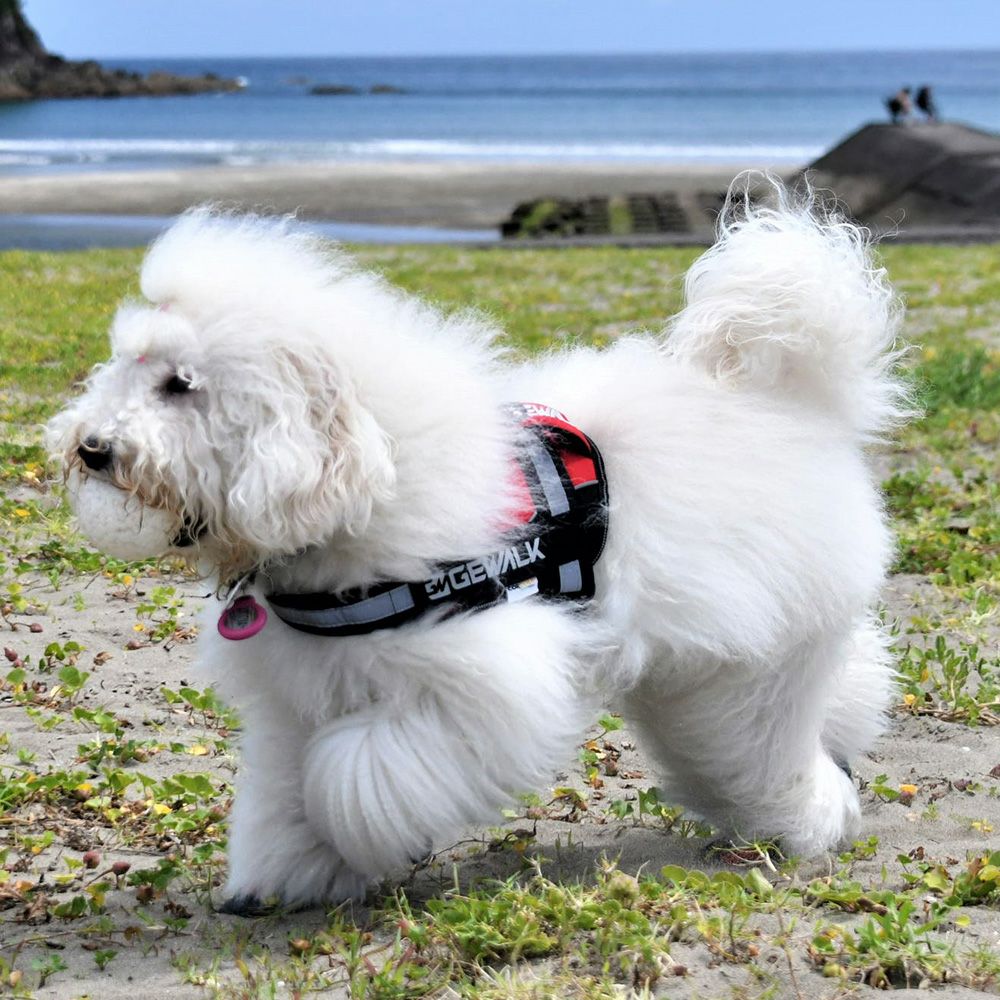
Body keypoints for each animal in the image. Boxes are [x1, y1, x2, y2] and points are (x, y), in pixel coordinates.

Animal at [48, 187, 908, 911]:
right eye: (124, 365)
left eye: (181, 384)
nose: (92, 447)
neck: (377, 472)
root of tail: (796, 404)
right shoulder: (298, 699)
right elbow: (286, 788)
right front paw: (290, 872)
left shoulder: (474, 680)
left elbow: (348, 774)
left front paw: (358, 830)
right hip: (709, 677)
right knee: (816, 701)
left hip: (754, 674)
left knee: (775, 754)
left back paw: (813, 822)